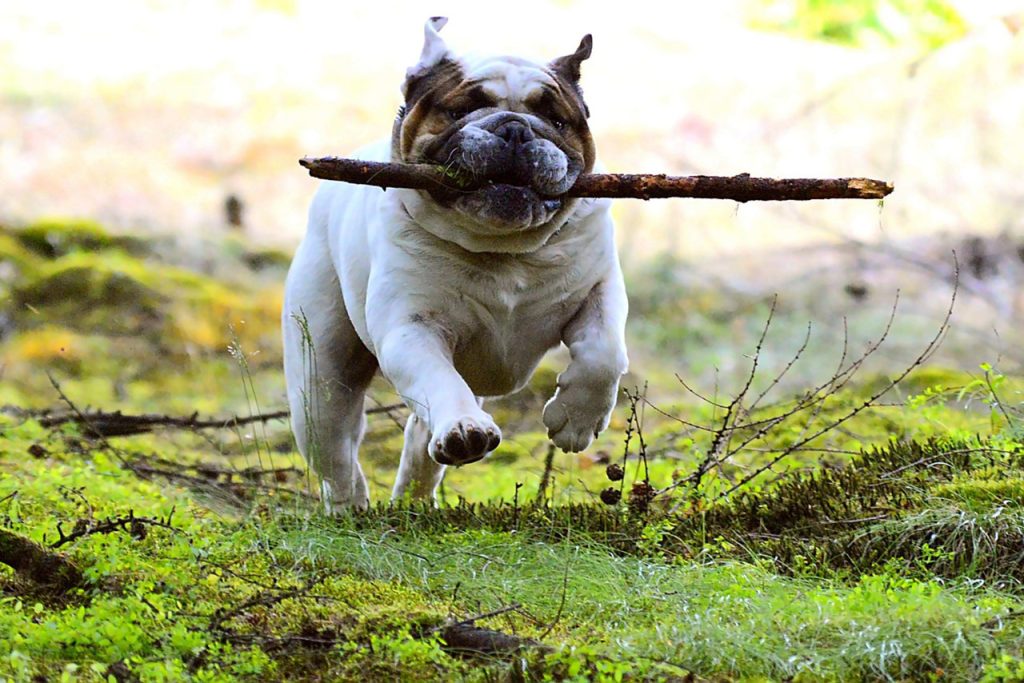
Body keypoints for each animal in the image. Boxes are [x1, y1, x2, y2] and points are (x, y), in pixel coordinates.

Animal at [284, 15, 626, 509]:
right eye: (461, 109)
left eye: (558, 120)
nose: (516, 129)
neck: (503, 251)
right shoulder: (410, 329)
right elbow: (437, 379)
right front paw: (467, 429)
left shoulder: (599, 290)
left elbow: (604, 353)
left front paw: (575, 420)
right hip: (319, 376)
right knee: (336, 449)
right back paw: (352, 505)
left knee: (419, 432)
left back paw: (414, 498)